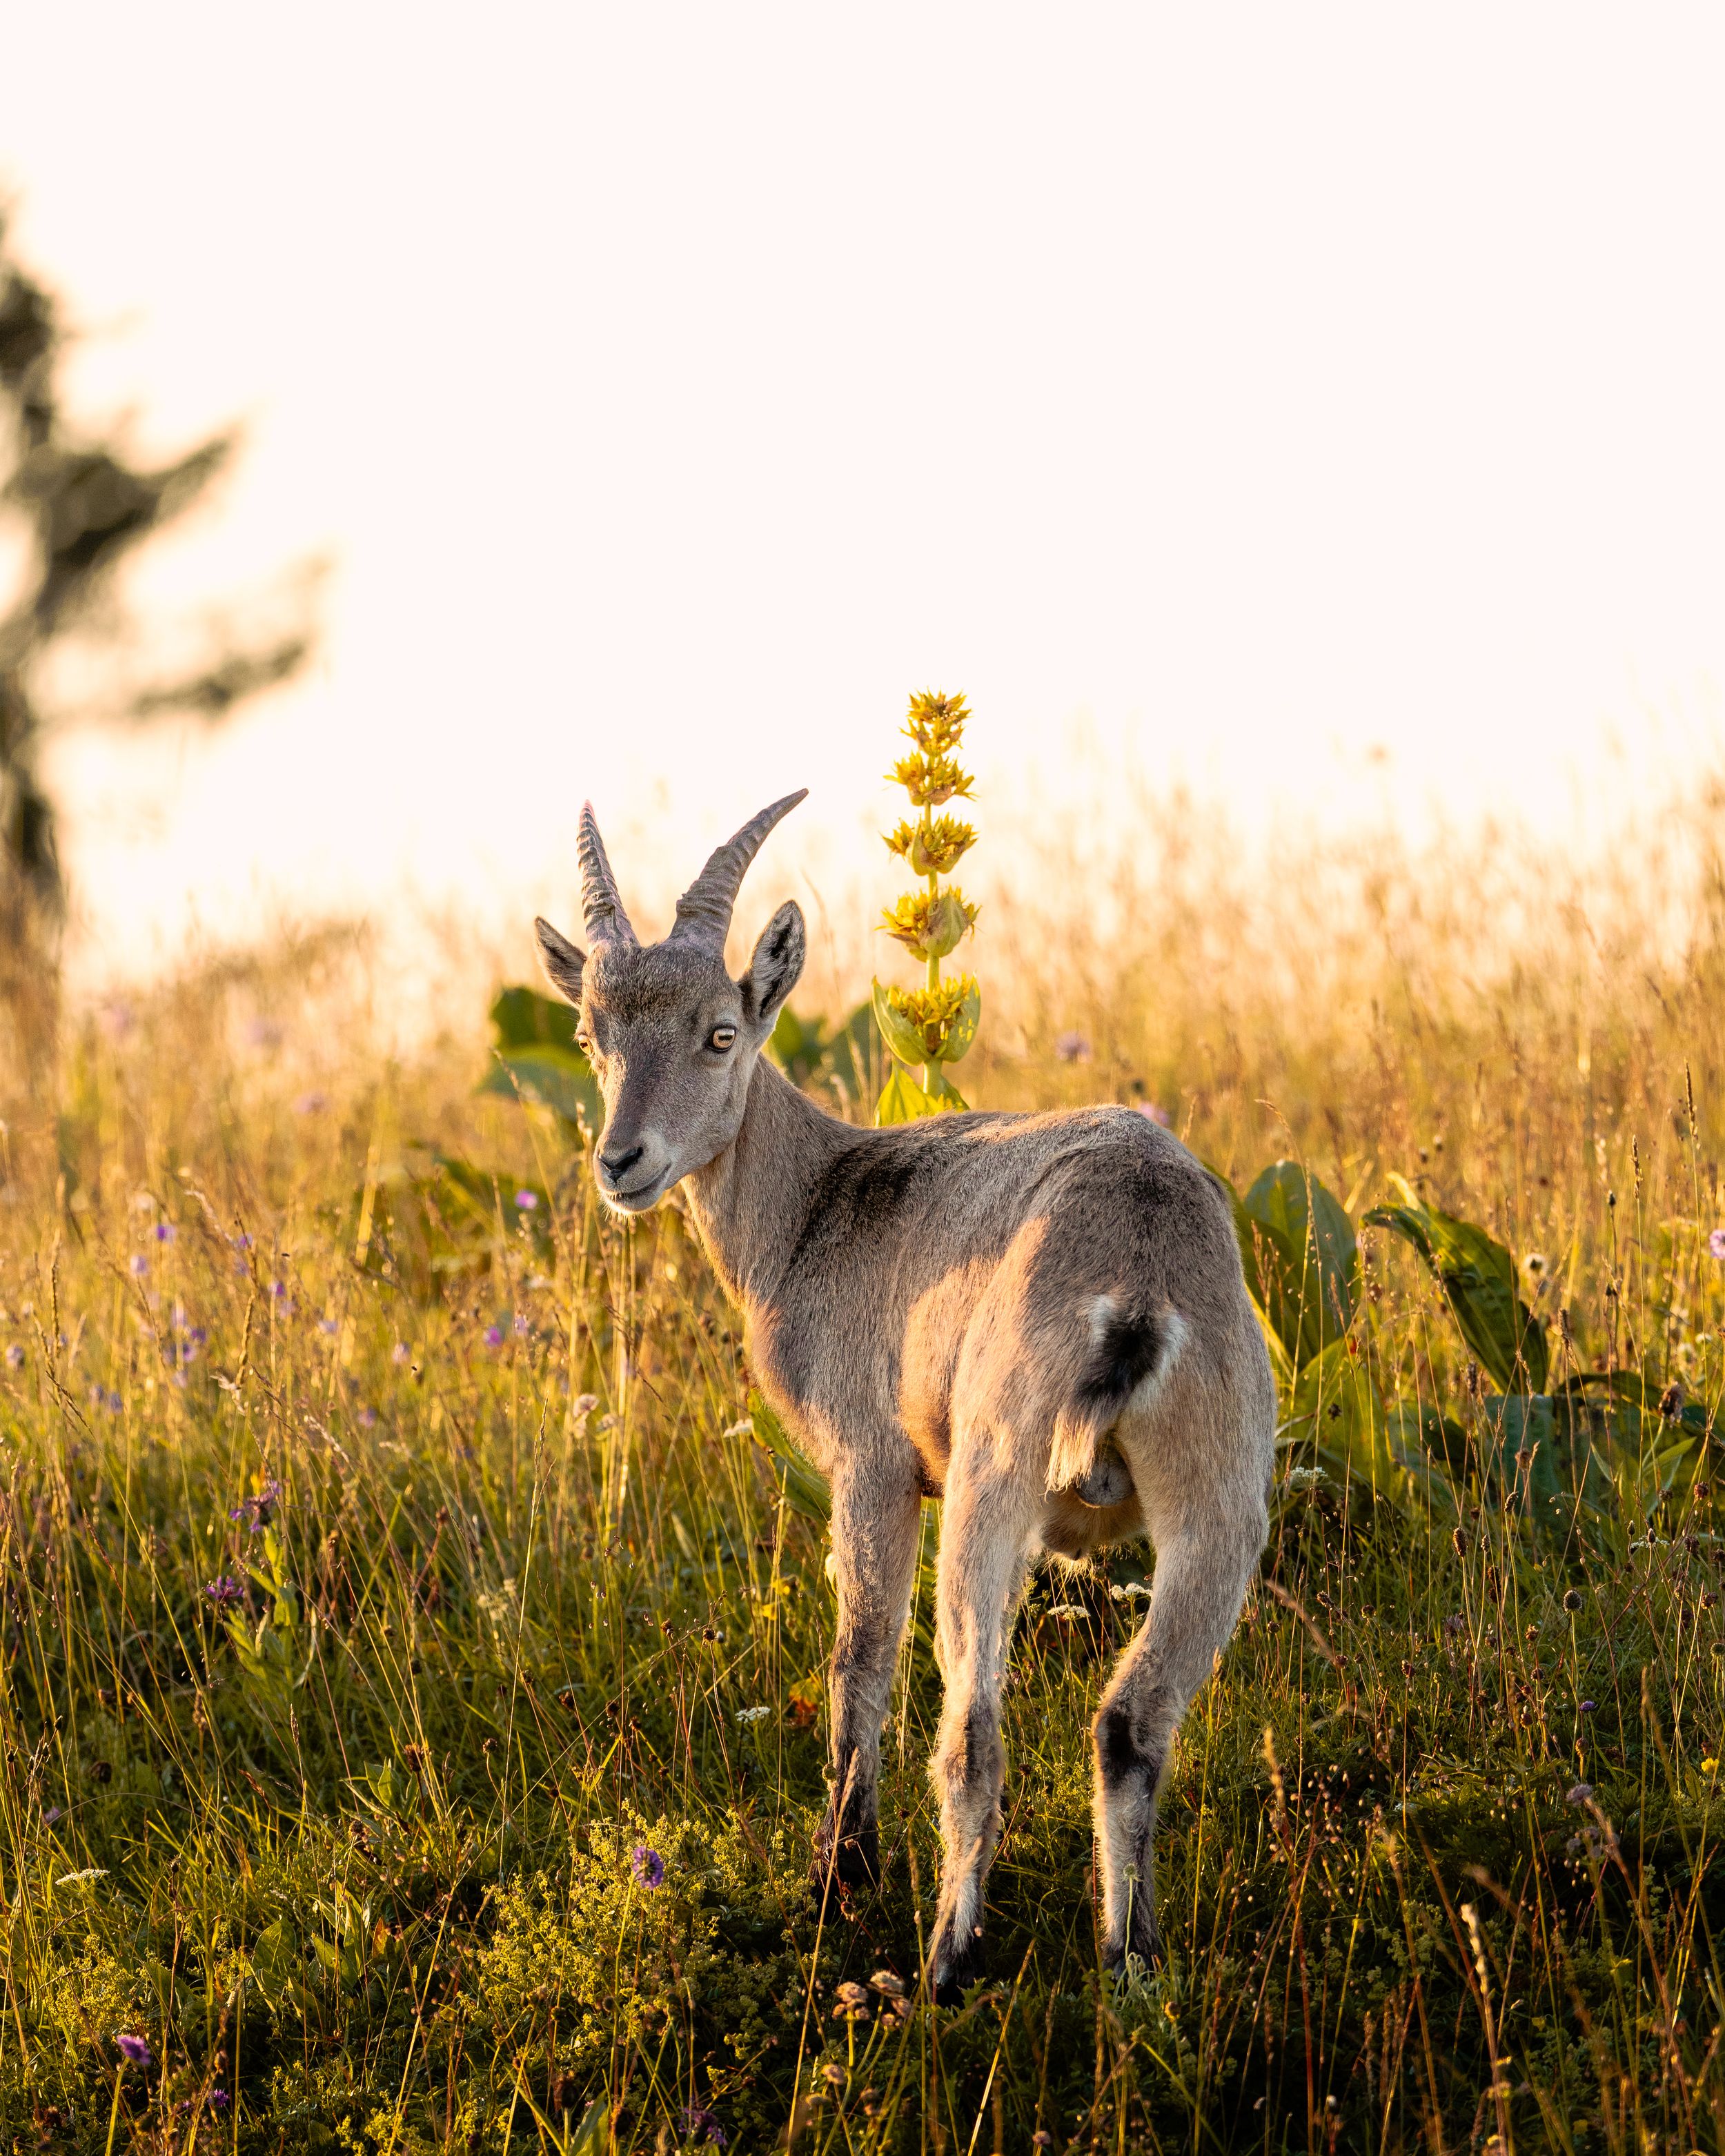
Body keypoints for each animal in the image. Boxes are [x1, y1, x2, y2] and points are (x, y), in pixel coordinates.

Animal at [533, 792, 1275, 1998]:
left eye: (720, 1030)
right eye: (593, 1035)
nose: (622, 1163)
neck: (819, 1203)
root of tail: (1139, 1290)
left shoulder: (871, 1466)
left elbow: (857, 1660)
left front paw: (840, 1873)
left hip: (991, 1482)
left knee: (972, 1729)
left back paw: (944, 1964)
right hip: (1222, 1502)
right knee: (1133, 1722)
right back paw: (1131, 1963)